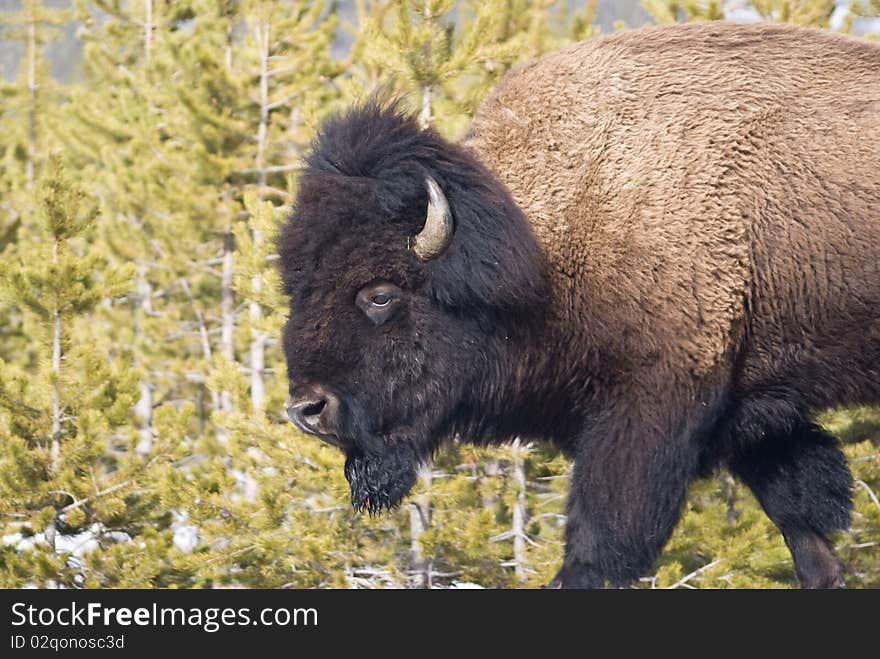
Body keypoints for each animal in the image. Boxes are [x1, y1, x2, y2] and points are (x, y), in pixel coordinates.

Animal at [280, 20, 880, 592]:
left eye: (380, 293)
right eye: (297, 289)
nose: (307, 409)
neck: (541, 239)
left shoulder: (650, 405)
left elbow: (603, 539)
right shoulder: (754, 413)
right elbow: (801, 523)